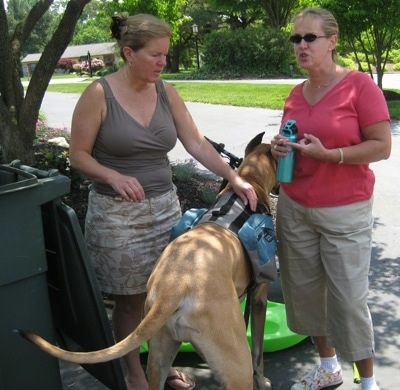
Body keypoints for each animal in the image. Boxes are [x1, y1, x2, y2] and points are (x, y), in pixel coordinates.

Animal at [19, 133, 278, 388]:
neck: (250, 178)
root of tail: (175, 287)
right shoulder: (259, 298)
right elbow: (258, 351)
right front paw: (263, 380)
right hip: (236, 365)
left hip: (159, 354)